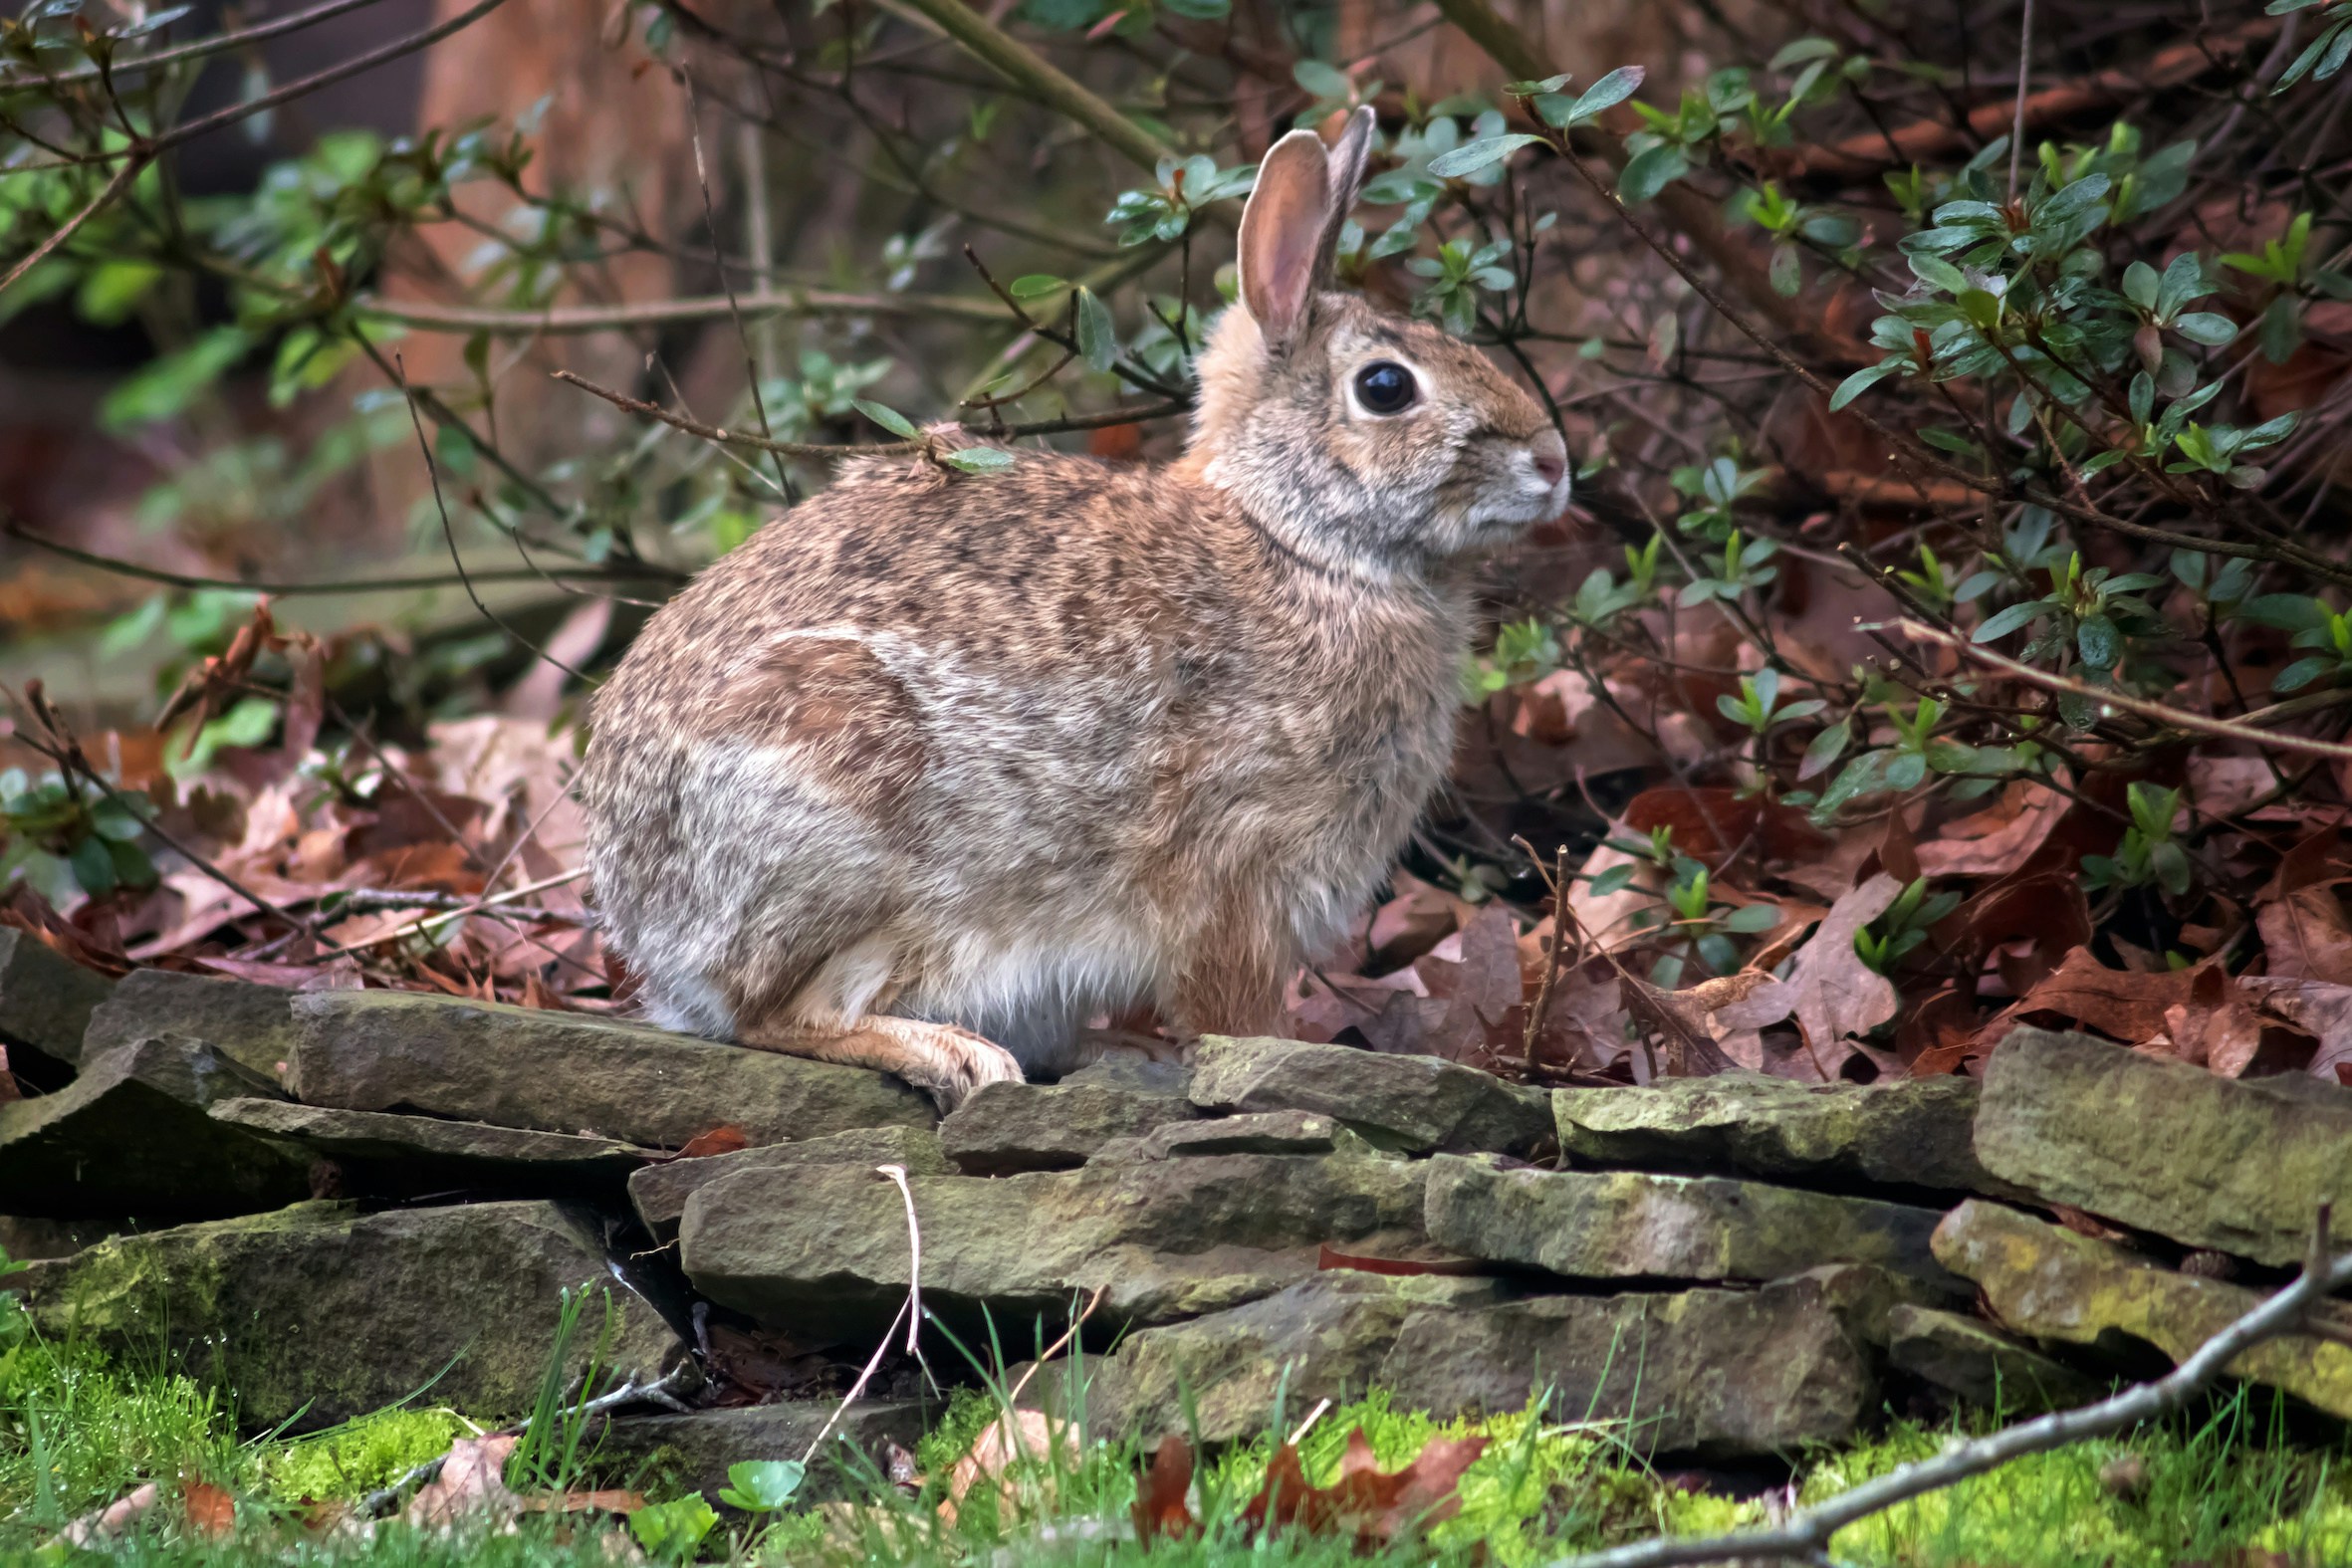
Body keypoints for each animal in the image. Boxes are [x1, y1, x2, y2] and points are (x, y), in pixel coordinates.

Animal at [579, 108, 1570, 1114]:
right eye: (1385, 387)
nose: (1555, 461)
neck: (1299, 544)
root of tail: (644, 923)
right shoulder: (1237, 869)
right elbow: (1236, 1009)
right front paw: (1282, 1061)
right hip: (834, 806)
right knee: (773, 1014)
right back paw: (952, 1052)